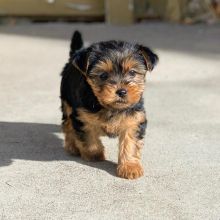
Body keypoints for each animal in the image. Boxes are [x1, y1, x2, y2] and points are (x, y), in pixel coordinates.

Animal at [60, 30, 158, 179]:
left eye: (132, 72)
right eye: (103, 75)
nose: (121, 91)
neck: (110, 107)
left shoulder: (134, 120)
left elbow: (131, 143)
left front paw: (130, 167)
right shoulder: (82, 117)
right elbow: (89, 137)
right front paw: (94, 154)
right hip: (67, 102)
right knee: (68, 125)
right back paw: (72, 146)